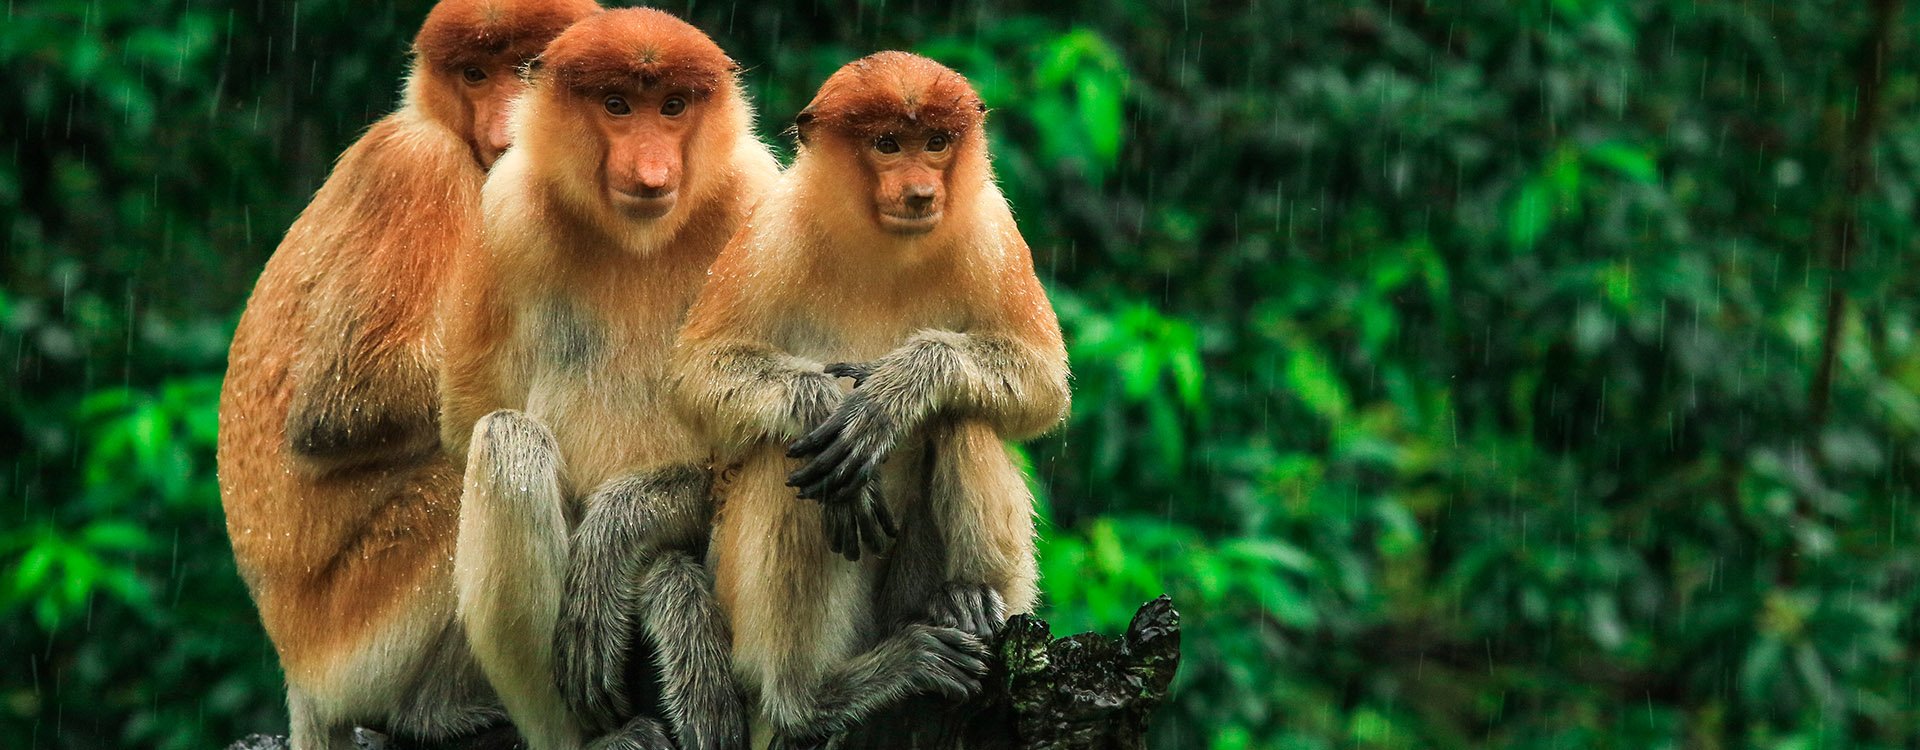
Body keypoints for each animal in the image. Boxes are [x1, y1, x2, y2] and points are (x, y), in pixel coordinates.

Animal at [216, 2, 599, 748]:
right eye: (475, 73)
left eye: (527, 66)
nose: (506, 125)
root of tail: (297, 673)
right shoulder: (417, 167)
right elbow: (341, 406)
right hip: (354, 635)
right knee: (464, 462)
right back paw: (439, 711)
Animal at [439, 10, 779, 750]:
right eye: (617, 106)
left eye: (673, 106)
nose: (651, 172)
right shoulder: (504, 211)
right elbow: (470, 414)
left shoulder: (757, 202)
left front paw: (614, 538)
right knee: (507, 441)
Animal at [672, 51, 1067, 744]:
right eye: (887, 144)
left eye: (936, 142)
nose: (922, 193)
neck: (885, 247)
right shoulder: (769, 231)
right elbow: (697, 376)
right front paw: (821, 404)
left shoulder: (991, 228)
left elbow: (1043, 382)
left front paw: (893, 394)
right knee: (789, 460)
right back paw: (816, 696)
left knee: (962, 417)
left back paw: (968, 602)